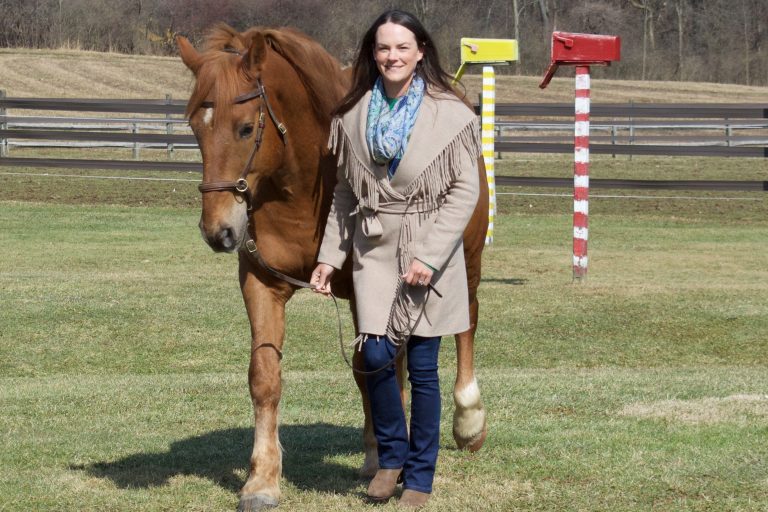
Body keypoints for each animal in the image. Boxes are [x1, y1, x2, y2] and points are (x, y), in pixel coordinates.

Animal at [178, 25, 488, 512]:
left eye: (245, 128)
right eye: (195, 128)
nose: (218, 231)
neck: (302, 186)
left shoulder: (365, 291)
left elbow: (370, 369)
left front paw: (386, 456)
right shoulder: (261, 284)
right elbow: (265, 377)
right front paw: (262, 481)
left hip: (464, 263)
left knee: (465, 327)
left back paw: (467, 422)